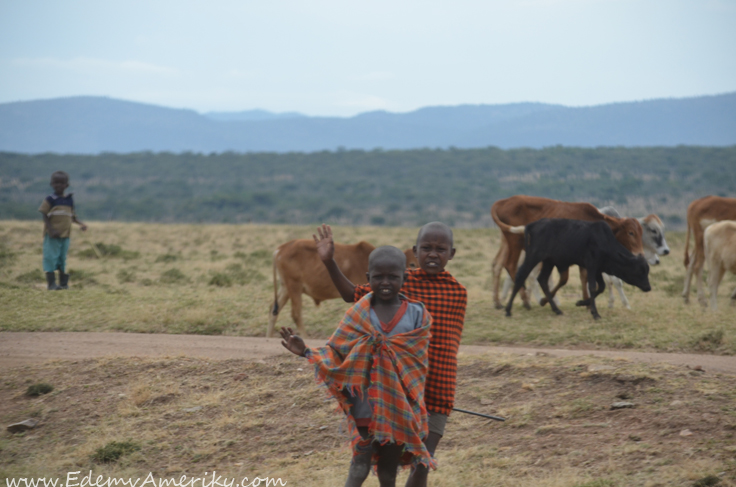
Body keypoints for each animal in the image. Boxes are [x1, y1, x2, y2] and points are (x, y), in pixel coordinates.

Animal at [266, 240, 416, 340]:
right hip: (294, 286)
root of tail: (281, 248)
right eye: (412, 263)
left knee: (274, 309)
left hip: (285, 288)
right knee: (296, 313)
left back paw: (270, 336)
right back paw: (305, 337)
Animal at [492, 194, 648, 308]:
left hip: (508, 244)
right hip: (515, 243)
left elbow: (582, 277)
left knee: (498, 265)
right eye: (631, 232)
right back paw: (524, 299)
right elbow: (566, 279)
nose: (640, 254)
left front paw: (585, 301)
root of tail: (503, 202)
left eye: (641, 232)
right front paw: (546, 300)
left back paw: (500, 301)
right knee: (511, 266)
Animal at [506, 218, 648, 320]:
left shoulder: (598, 269)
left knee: (542, 280)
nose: (648, 287)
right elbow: (592, 287)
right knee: (521, 276)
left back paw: (556, 310)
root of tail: (531, 225)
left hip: (548, 262)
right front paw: (595, 313)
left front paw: (581, 303)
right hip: (533, 257)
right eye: (639, 271)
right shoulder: (591, 266)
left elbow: (601, 287)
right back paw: (508, 310)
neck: (603, 240)